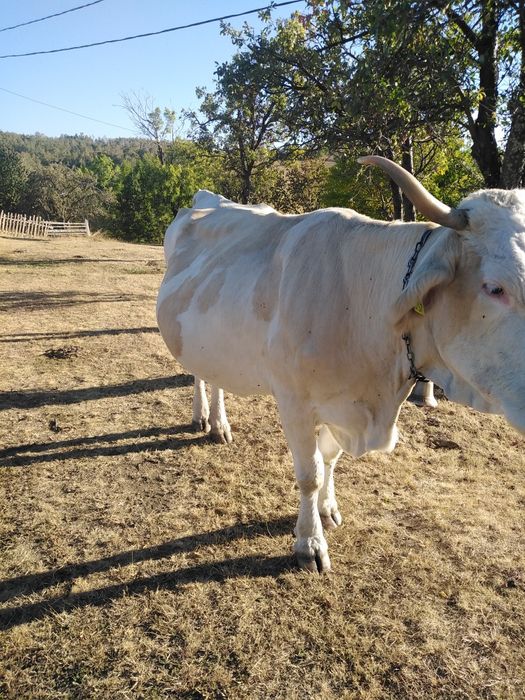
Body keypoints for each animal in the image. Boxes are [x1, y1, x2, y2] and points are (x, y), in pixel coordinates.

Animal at [156, 155, 525, 572]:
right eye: (495, 288)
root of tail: (207, 197)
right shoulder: (295, 402)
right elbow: (310, 474)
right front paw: (309, 543)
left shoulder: (341, 405)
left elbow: (330, 460)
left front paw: (327, 509)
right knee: (198, 375)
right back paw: (205, 417)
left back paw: (220, 424)